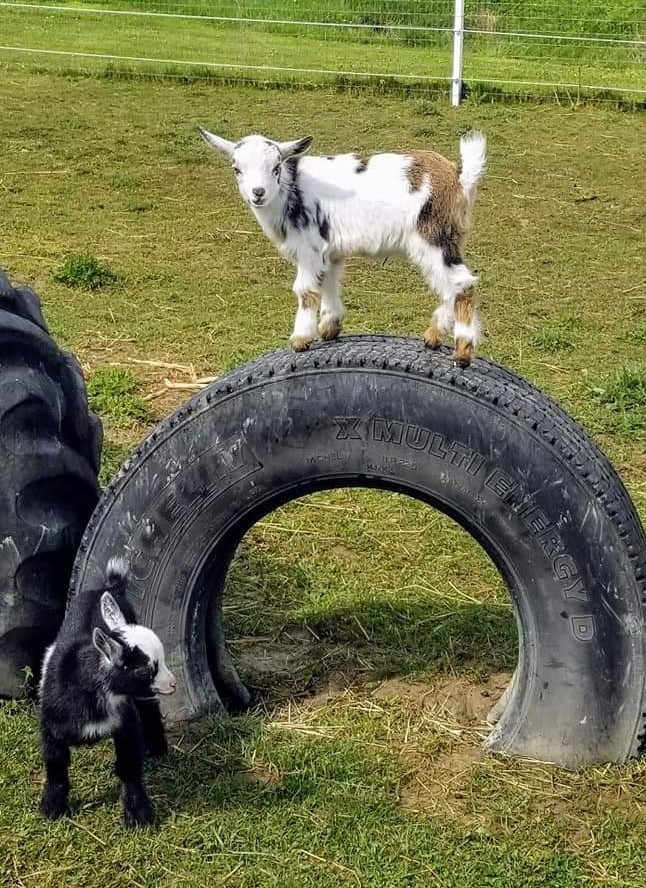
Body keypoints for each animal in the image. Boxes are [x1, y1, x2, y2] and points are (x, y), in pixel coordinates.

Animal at [39, 557, 176, 828]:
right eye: (144, 670)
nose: (173, 683)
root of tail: (110, 587)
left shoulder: (125, 722)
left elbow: (128, 765)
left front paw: (138, 814)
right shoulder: (51, 726)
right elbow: (56, 764)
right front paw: (52, 808)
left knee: (149, 708)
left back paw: (156, 747)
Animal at [199, 127, 486, 366]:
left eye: (275, 167)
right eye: (236, 168)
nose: (258, 193)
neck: (290, 190)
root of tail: (459, 176)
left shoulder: (309, 248)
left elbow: (304, 290)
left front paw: (300, 338)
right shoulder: (330, 250)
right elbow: (328, 282)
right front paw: (330, 326)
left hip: (433, 236)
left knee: (461, 284)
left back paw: (463, 349)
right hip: (449, 239)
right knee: (449, 287)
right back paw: (434, 335)